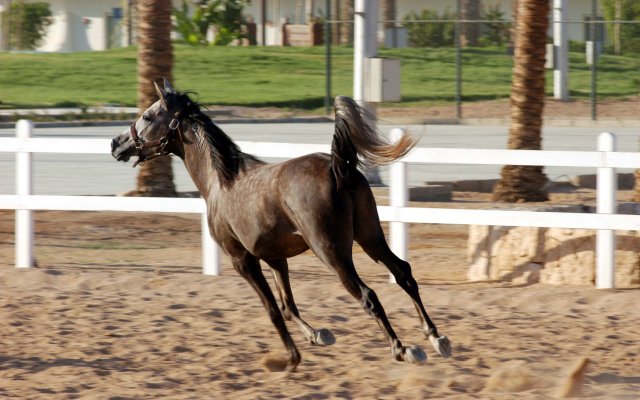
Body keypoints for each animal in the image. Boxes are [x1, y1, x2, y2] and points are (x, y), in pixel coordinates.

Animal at [111, 79, 450, 372]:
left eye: (147, 115)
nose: (116, 143)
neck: (221, 182)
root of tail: (337, 168)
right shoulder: (276, 258)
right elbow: (288, 305)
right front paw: (319, 335)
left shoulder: (242, 260)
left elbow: (272, 309)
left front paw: (291, 359)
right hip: (371, 237)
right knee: (404, 273)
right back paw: (436, 339)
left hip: (332, 252)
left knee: (368, 296)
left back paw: (404, 350)